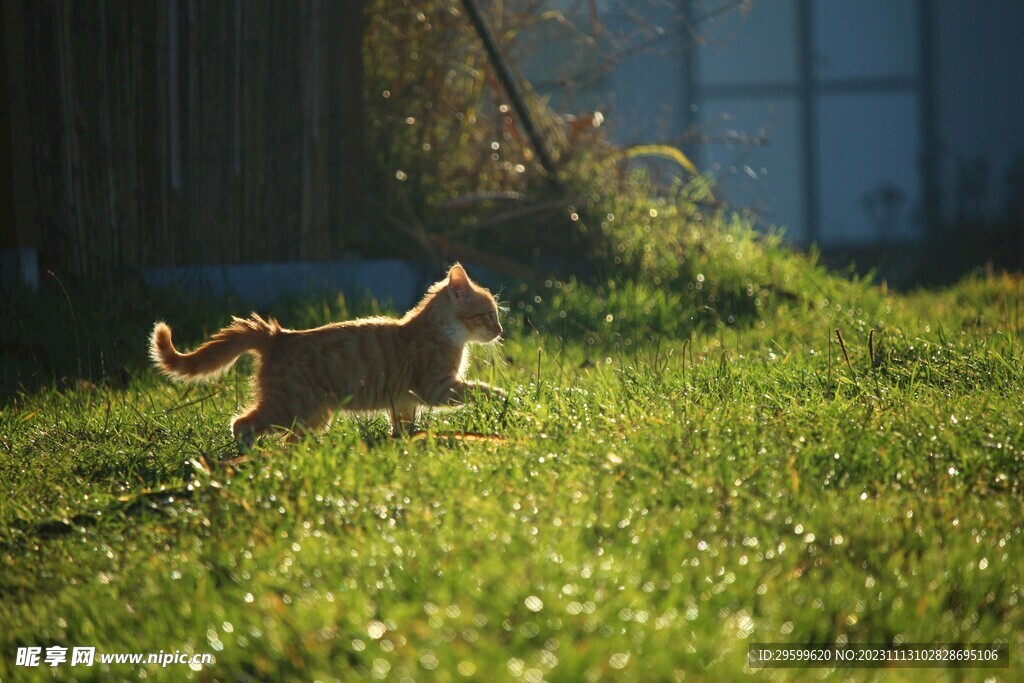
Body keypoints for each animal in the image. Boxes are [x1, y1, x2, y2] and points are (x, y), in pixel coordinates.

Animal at [150, 262, 503, 444]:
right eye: (490, 314)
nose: (501, 331)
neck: (441, 331)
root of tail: (278, 336)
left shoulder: (404, 401)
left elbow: (403, 427)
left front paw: (404, 444)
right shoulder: (436, 387)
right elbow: (480, 391)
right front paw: (504, 396)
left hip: (312, 416)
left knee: (286, 438)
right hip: (288, 406)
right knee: (242, 424)